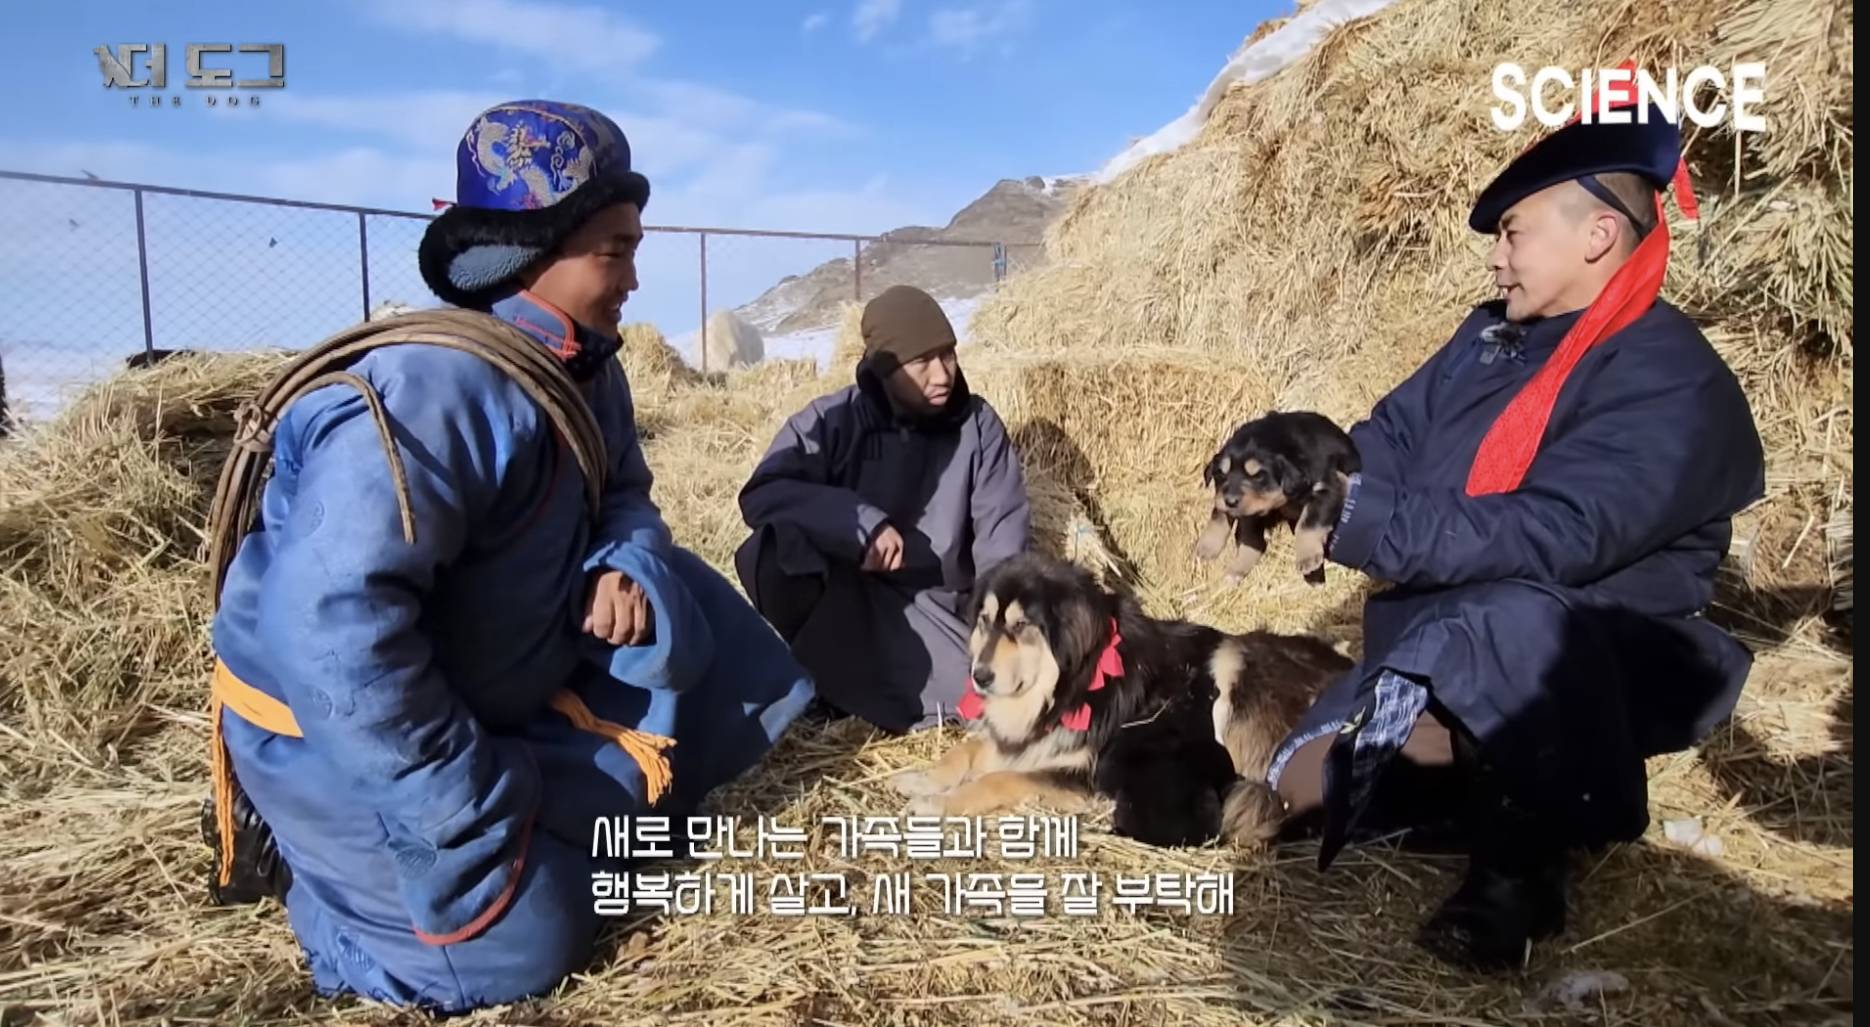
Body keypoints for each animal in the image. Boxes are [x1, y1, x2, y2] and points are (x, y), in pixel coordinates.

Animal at [882, 557, 1353, 845]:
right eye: (984, 621)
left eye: (1020, 626)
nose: (978, 676)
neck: (1072, 681)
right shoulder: (1027, 737)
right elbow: (965, 752)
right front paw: (922, 779)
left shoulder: (1083, 772)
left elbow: (998, 780)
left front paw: (936, 803)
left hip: (1232, 659)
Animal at [1196, 409, 1361, 583]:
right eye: (1220, 473)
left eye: (1258, 476)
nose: (1231, 501)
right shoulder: (1233, 503)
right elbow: (1220, 513)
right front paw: (1207, 545)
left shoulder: (1328, 487)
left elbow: (1308, 522)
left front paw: (1307, 557)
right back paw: (1236, 569)